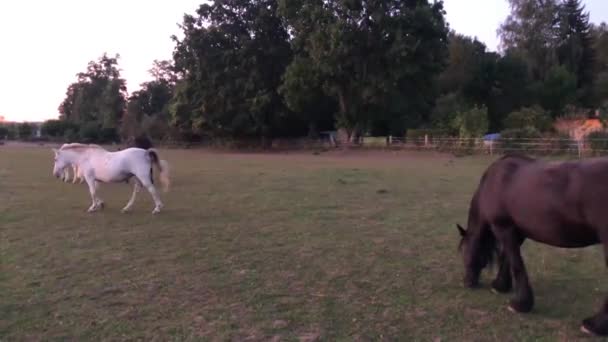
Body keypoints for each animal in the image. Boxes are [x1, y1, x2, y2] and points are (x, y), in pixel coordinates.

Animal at [458, 154, 608, 336]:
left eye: (464, 252)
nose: (467, 283)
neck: (494, 182)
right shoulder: (518, 232)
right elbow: (508, 258)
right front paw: (501, 286)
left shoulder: (503, 228)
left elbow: (516, 263)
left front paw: (520, 304)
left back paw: (595, 325)